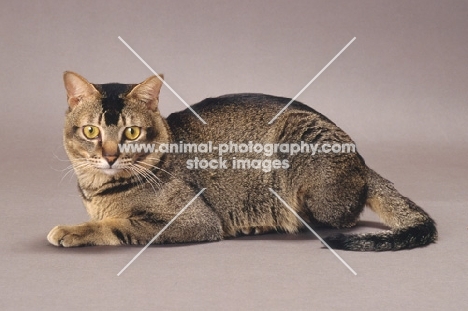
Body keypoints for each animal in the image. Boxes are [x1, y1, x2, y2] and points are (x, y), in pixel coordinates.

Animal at [45, 72, 436, 252]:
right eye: (91, 131)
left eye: (132, 133)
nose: (110, 156)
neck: (99, 190)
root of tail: (361, 161)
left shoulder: (195, 221)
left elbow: (118, 225)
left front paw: (73, 230)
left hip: (296, 141)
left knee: (334, 219)